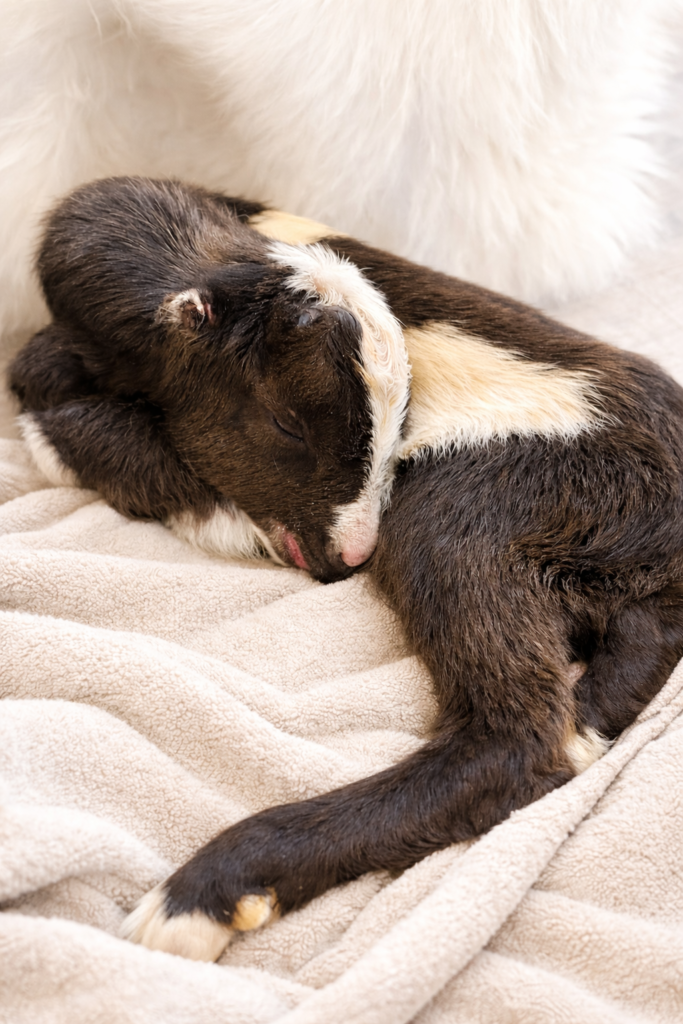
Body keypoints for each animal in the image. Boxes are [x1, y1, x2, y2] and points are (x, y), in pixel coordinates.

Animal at [9, 176, 683, 962]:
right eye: (287, 425)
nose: (350, 554)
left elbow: (47, 391)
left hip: (506, 489)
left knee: (517, 732)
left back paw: (206, 891)